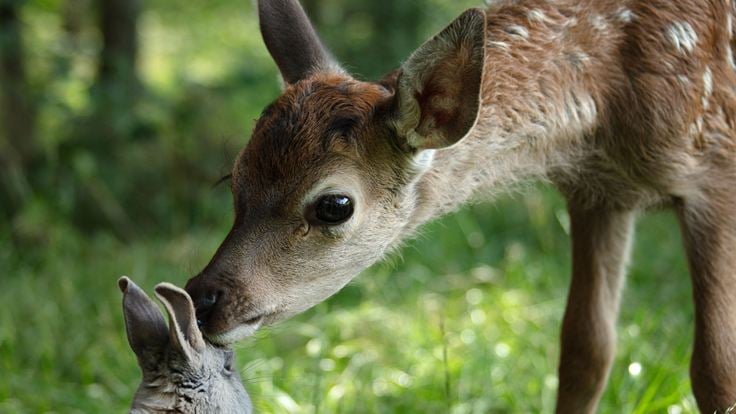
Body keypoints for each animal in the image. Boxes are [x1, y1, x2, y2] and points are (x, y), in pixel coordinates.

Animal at [184, 0, 736, 410]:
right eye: (233, 177)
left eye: (334, 204)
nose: (203, 299)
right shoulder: (599, 192)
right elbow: (586, 352)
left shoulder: (713, 171)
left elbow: (715, 367)